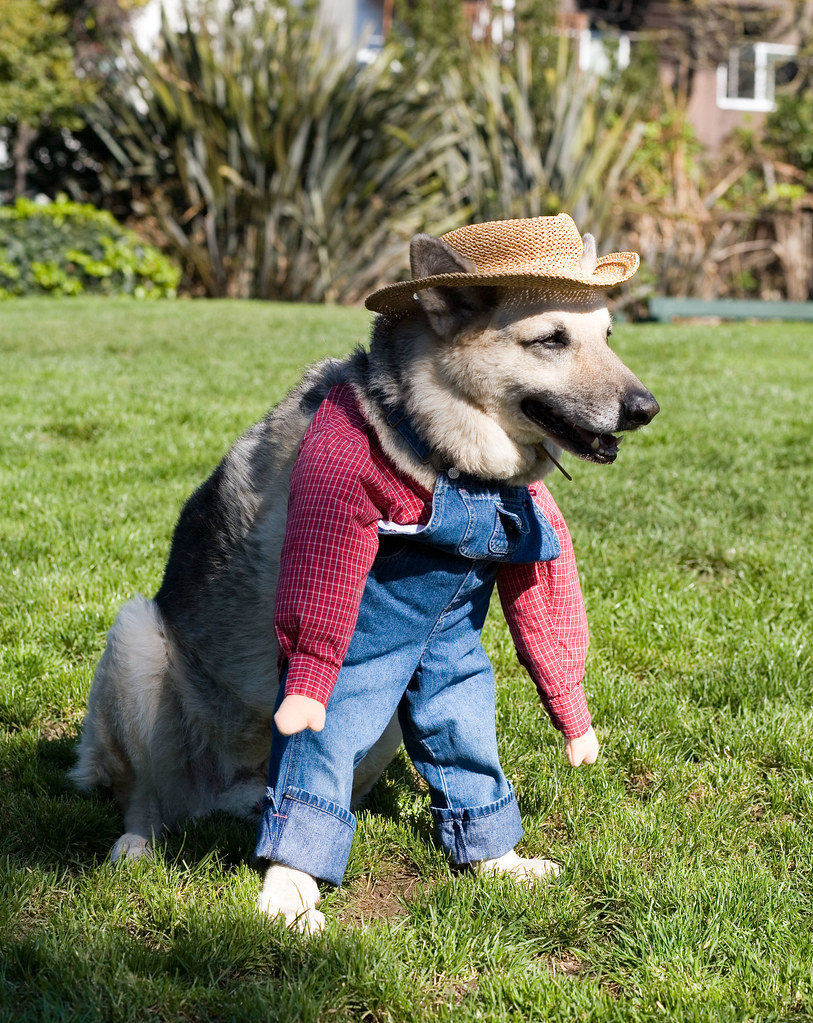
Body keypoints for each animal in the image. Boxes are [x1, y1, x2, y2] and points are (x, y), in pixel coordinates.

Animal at [71, 217, 662, 937]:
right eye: (551, 339)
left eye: (608, 337)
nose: (646, 408)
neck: (441, 458)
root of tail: (227, 792)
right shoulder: (337, 643)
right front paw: (288, 894)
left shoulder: (442, 648)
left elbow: (465, 746)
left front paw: (499, 861)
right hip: (135, 638)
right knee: (147, 795)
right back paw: (140, 841)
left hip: (382, 727)